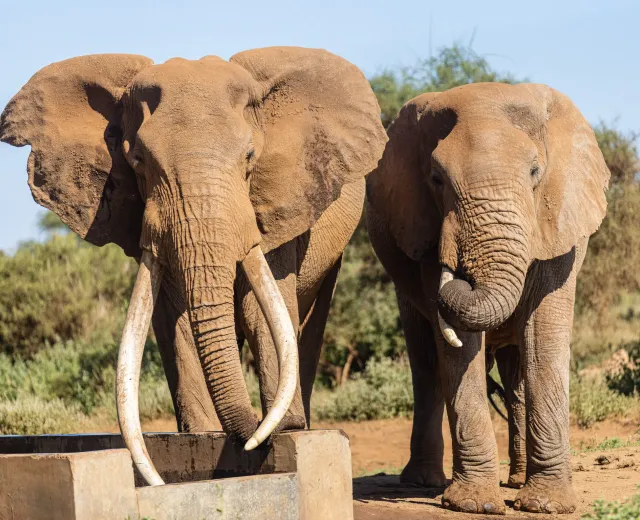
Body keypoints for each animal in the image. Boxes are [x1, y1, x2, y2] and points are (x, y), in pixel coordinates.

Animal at [0, 48, 387, 484]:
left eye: (250, 157)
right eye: (138, 161)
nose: (252, 438)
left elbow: (258, 308)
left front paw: (282, 429)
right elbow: (175, 316)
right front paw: (205, 433)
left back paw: (299, 424)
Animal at [366, 83, 609, 514]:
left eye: (535, 172)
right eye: (436, 178)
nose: (457, 265)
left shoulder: (560, 225)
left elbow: (543, 339)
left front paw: (546, 506)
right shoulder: (422, 225)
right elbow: (459, 351)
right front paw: (474, 505)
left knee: (516, 374)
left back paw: (515, 481)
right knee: (425, 365)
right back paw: (424, 483)